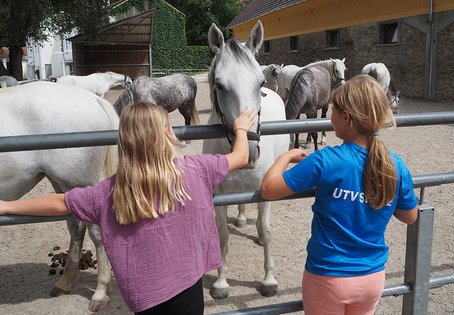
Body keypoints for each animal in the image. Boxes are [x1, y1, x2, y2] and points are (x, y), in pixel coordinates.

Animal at [0, 81, 119, 312]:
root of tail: (93, 98)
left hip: (78, 182)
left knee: (96, 232)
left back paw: (100, 293)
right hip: (61, 184)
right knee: (75, 227)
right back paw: (64, 282)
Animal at [203, 21, 290, 300]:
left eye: (259, 82)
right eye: (219, 85)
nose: (250, 152)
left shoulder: (264, 192)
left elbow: (267, 230)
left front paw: (269, 281)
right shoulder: (219, 195)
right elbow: (222, 235)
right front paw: (221, 283)